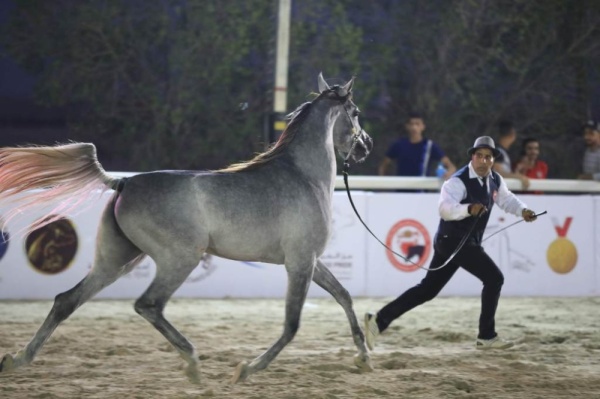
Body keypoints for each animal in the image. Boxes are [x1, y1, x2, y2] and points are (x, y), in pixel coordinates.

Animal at [0, 72, 376, 384]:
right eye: (356, 112)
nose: (366, 146)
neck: (302, 176)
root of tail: (123, 182)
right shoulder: (300, 262)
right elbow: (292, 324)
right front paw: (246, 369)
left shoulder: (311, 260)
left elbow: (344, 295)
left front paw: (364, 358)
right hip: (179, 259)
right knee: (148, 305)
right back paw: (193, 365)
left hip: (116, 260)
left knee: (66, 300)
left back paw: (17, 360)